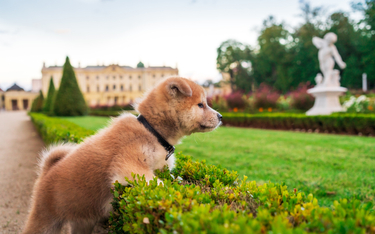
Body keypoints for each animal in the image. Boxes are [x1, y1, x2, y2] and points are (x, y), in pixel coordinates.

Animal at [23, 77, 222, 234]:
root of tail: (47, 171)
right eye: (201, 105)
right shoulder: (130, 167)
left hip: (83, 222)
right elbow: (160, 185)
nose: (220, 116)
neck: (152, 131)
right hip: (45, 221)